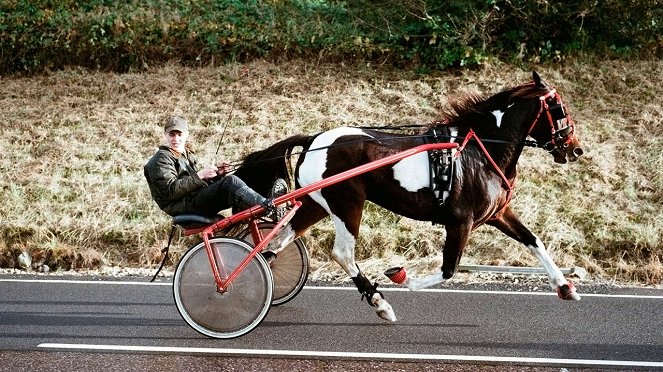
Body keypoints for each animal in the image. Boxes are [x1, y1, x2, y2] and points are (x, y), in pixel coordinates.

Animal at [235, 71, 588, 322]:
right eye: (559, 109)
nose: (575, 149)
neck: (477, 151)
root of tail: (313, 140)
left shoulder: (498, 214)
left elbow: (533, 240)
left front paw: (565, 286)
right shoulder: (461, 222)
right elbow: (448, 269)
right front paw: (402, 278)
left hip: (315, 204)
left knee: (278, 240)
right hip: (347, 204)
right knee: (343, 254)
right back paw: (380, 303)